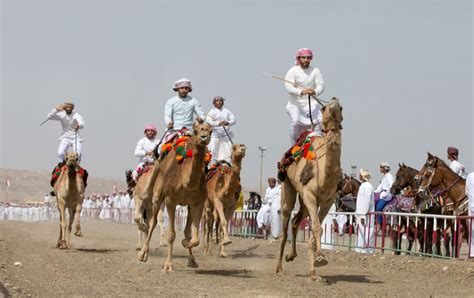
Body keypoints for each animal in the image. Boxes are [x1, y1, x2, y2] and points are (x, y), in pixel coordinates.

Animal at [137, 121, 211, 272]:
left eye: (210, 130)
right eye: (197, 130)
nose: (204, 136)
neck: (186, 182)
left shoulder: (197, 203)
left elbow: (193, 238)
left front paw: (187, 247)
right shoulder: (171, 201)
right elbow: (171, 235)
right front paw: (168, 265)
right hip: (158, 195)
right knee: (152, 222)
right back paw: (142, 254)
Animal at [274, 98, 344, 280]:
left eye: (341, 108)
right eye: (323, 107)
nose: (334, 100)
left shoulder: (327, 200)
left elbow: (316, 228)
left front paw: (314, 271)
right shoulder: (310, 195)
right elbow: (317, 227)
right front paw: (320, 258)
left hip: (304, 200)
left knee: (296, 221)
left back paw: (291, 256)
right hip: (288, 186)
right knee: (286, 218)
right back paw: (279, 268)